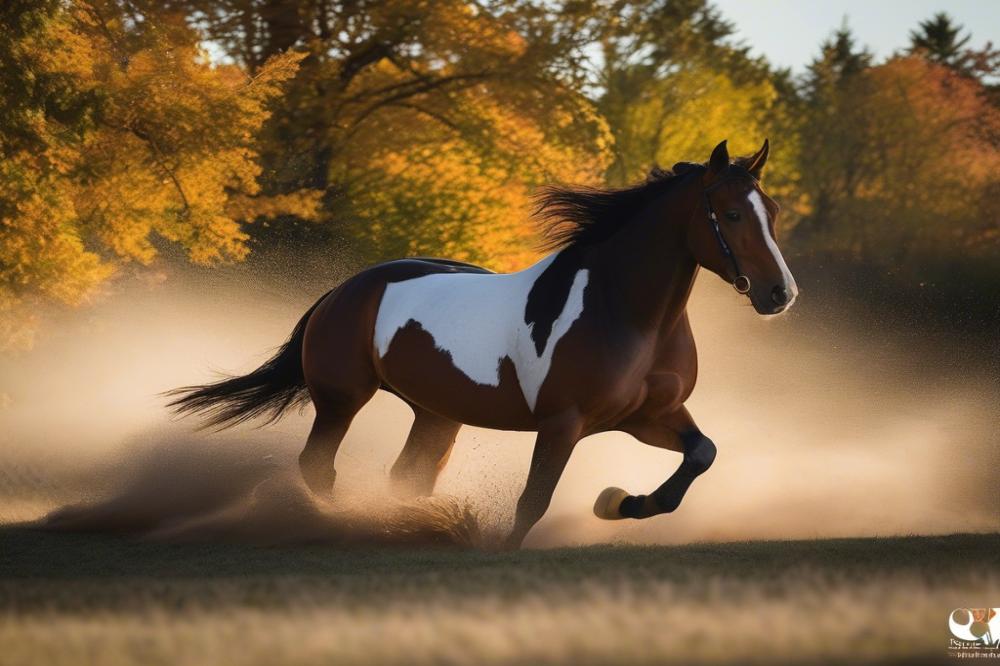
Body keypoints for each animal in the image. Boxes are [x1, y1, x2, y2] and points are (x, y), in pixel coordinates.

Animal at [170, 139, 796, 544]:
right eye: (731, 213)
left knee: (406, 478)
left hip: (435, 414)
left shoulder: (648, 416)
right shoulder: (564, 424)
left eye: (771, 210)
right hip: (342, 401)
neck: (627, 313)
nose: (779, 293)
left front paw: (618, 502)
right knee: (318, 468)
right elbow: (532, 503)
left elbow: (700, 454)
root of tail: (343, 291)